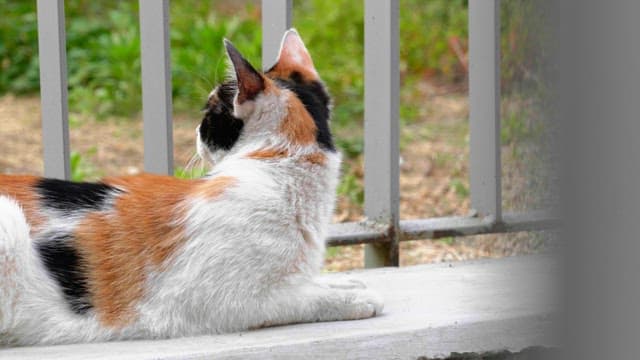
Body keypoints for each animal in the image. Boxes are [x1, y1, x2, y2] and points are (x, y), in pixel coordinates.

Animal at [0, 28, 380, 346]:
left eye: (208, 115)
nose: (196, 133)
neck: (278, 166)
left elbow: (312, 282)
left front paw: (346, 281)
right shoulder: (232, 302)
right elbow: (302, 297)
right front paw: (354, 297)